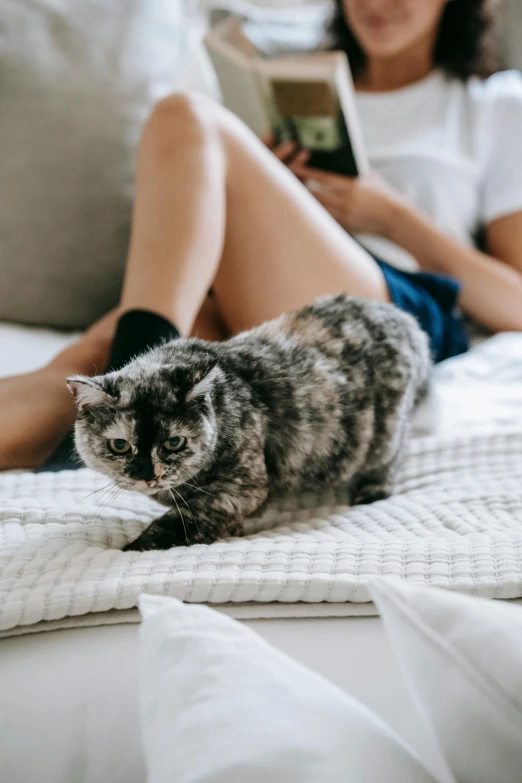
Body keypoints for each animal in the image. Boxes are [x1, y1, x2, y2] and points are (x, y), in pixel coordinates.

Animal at [67, 294, 428, 552]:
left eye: (174, 442)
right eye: (120, 445)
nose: (147, 475)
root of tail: (404, 319)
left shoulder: (240, 489)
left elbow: (180, 522)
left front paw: (135, 548)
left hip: (385, 434)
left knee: (387, 461)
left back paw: (369, 491)